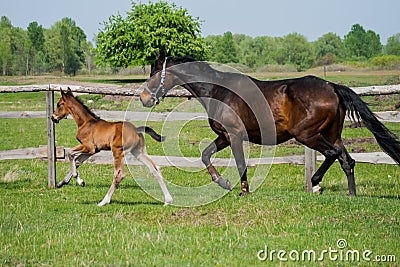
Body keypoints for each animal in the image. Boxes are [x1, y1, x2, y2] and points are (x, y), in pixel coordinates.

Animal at [141, 54, 400, 197]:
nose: (144, 98)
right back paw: (352, 195)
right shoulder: (224, 136)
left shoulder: (234, 135)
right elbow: (205, 155)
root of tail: (332, 87)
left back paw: (316, 183)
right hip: (332, 133)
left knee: (333, 153)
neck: (218, 91)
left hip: (307, 134)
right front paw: (223, 183)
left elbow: (240, 164)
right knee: (347, 160)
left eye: (154, 73)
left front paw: (243, 191)